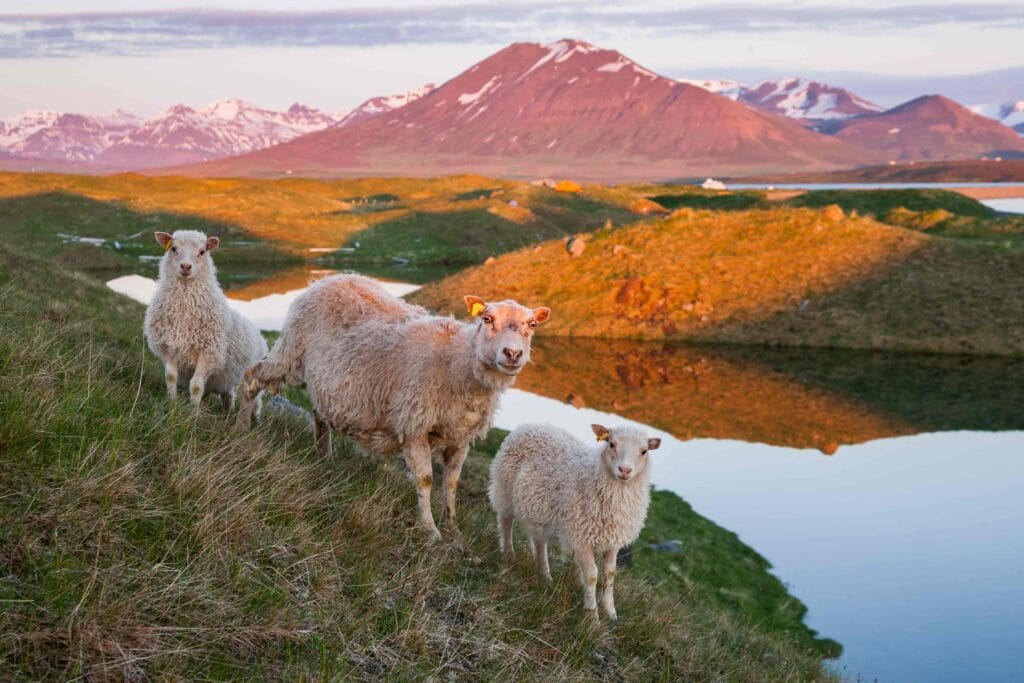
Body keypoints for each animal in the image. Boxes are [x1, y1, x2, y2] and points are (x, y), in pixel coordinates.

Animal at [146, 229, 272, 411]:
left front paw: (193, 411)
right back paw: (227, 412)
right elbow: (170, 377)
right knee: (228, 396)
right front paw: (172, 403)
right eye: (173, 248)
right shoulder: (169, 346)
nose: (185, 267)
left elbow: (196, 385)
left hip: (251, 380)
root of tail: (259, 334)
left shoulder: (209, 351)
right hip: (228, 381)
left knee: (253, 403)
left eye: (202, 251)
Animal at [236, 274, 552, 540]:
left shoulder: (460, 438)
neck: (458, 363)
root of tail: (327, 279)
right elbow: (425, 479)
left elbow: (451, 484)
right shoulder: (414, 426)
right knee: (252, 376)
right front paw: (431, 531)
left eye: (532, 325)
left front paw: (453, 529)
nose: (512, 354)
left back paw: (324, 456)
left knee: (320, 413)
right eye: (487, 319)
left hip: (324, 381)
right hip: (290, 353)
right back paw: (241, 428)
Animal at [489, 421, 663, 618]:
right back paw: (508, 554)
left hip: (539, 510)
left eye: (644, 451)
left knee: (539, 542)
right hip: (505, 489)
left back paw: (545, 574)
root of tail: (530, 425)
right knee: (505, 522)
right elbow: (592, 576)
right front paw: (592, 616)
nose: (625, 470)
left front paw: (610, 612)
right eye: (611, 443)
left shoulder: (613, 542)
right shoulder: (579, 539)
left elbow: (610, 574)